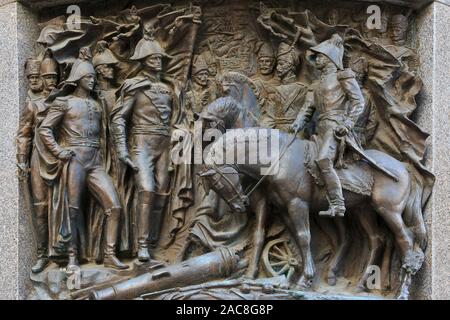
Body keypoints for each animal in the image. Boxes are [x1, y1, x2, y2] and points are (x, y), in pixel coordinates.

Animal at [199, 128, 428, 300]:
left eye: (218, 183)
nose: (240, 205)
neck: (280, 158)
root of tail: (405, 168)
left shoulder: (297, 204)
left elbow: (304, 237)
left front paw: (304, 280)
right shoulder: (283, 207)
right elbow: (292, 238)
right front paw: (293, 278)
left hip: (388, 210)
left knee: (406, 240)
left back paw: (402, 292)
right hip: (364, 211)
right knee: (376, 239)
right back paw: (361, 284)